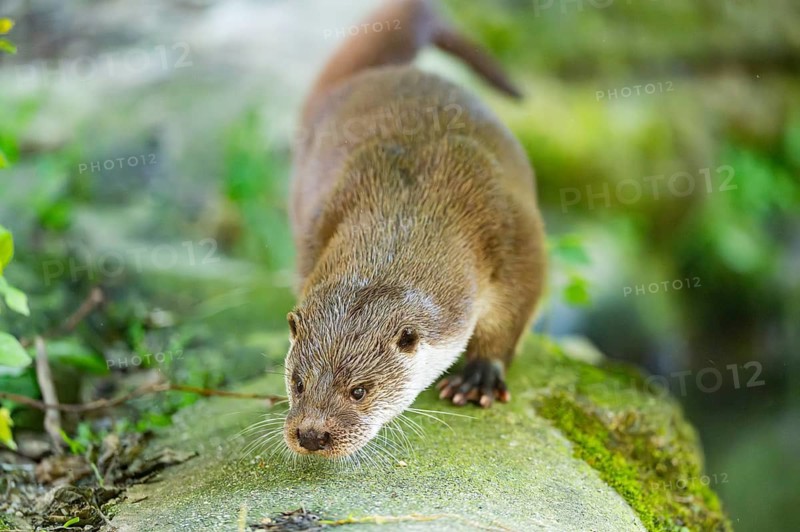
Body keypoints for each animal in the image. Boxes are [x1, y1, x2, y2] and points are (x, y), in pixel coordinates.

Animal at [283, 0, 545, 458]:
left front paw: (479, 375)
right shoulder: (321, 221)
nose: (312, 434)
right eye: (298, 383)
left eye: (360, 390)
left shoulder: (512, 229)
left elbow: (519, 303)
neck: (411, 205)